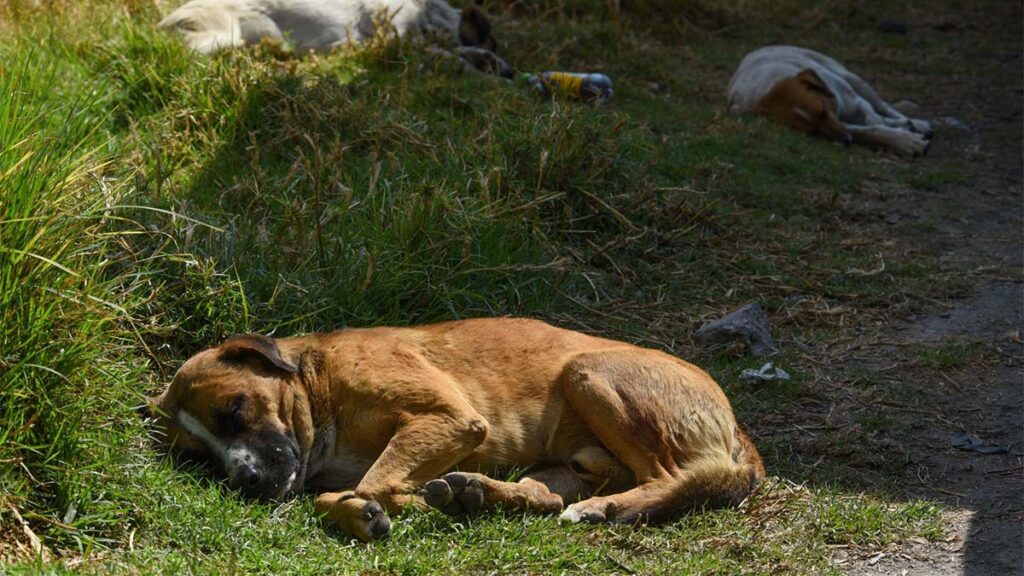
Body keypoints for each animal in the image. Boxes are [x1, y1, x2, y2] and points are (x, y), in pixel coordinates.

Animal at [146, 315, 770, 541]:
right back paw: (480, 495)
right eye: (200, 457)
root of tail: (739, 430)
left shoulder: (447, 418)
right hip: (569, 457)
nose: (245, 483)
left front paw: (394, 504)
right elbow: (347, 491)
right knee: (546, 495)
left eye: (235, 410)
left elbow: (376, 484)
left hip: (589, 373)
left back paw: (603, 508)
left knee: (670, 477)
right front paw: (364, 509)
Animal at [724, 45, 933, 155]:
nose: (846, 140)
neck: (769, 84)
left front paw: (906, 131)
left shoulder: (853, 101)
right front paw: (902, 139)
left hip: (852, 79)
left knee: (884, 107)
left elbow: (874, 118)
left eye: (823, 110)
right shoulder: (843, 124)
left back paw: (915, 123)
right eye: (811, 131)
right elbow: (871, 129)